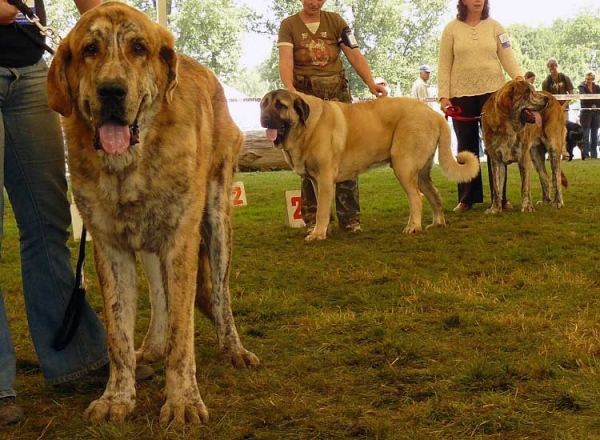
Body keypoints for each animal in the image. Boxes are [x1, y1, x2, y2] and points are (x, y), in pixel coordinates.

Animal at [48, 0, 258, 426]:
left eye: (138, 48)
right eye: (89, 50)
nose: (112, 90)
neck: (130, 166)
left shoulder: (181, 241)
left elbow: (183, 331)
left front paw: (183, 400)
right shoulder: (111, 248)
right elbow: (118, 334)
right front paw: (117, 396)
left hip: (215, 221)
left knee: (220, 294)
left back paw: (233, 347)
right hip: (149, 243)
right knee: (161, 297)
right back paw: (153, 346)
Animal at [260, 90, 480, 241]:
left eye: (280, 105)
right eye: (263, 105)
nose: (263, 119)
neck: (305, 128)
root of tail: (433, 114)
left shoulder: (324, 178)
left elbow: (322, 209)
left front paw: (317, 234)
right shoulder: (316, 181)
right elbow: (324, 208)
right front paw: (324, 230)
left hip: (403, 165)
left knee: (417, 198)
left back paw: (413, 227)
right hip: (421, 173)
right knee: (434, 195)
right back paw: (437, 224)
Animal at [480, 81, 564, 216]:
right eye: (527, 92)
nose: (546, 99)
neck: (507, 124)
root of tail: (554, 98)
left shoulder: (523, 157)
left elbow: (525, 186)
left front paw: (527, 207)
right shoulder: (496, 160)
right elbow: (497, 187)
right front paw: (495, 209)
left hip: (554, 147)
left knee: (557, 177)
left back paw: (558, 202)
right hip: (535, 155)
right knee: (545, 177)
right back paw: (545, 201)